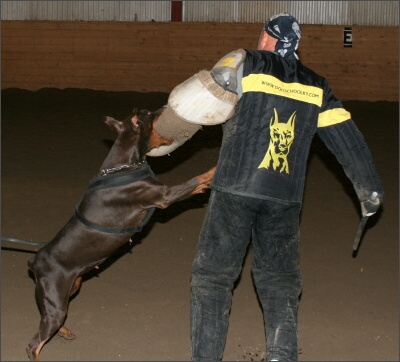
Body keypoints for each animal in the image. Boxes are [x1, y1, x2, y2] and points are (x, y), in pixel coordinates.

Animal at [25, 107, 216, 360]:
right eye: (152, 114)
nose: (165, 108)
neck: (123, 165)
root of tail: (36, 261)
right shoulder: (164, 196)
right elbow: (197, 179)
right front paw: (215, 169)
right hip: (55, 298)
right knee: (34, 344)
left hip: (70, 287)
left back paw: (64, 331)